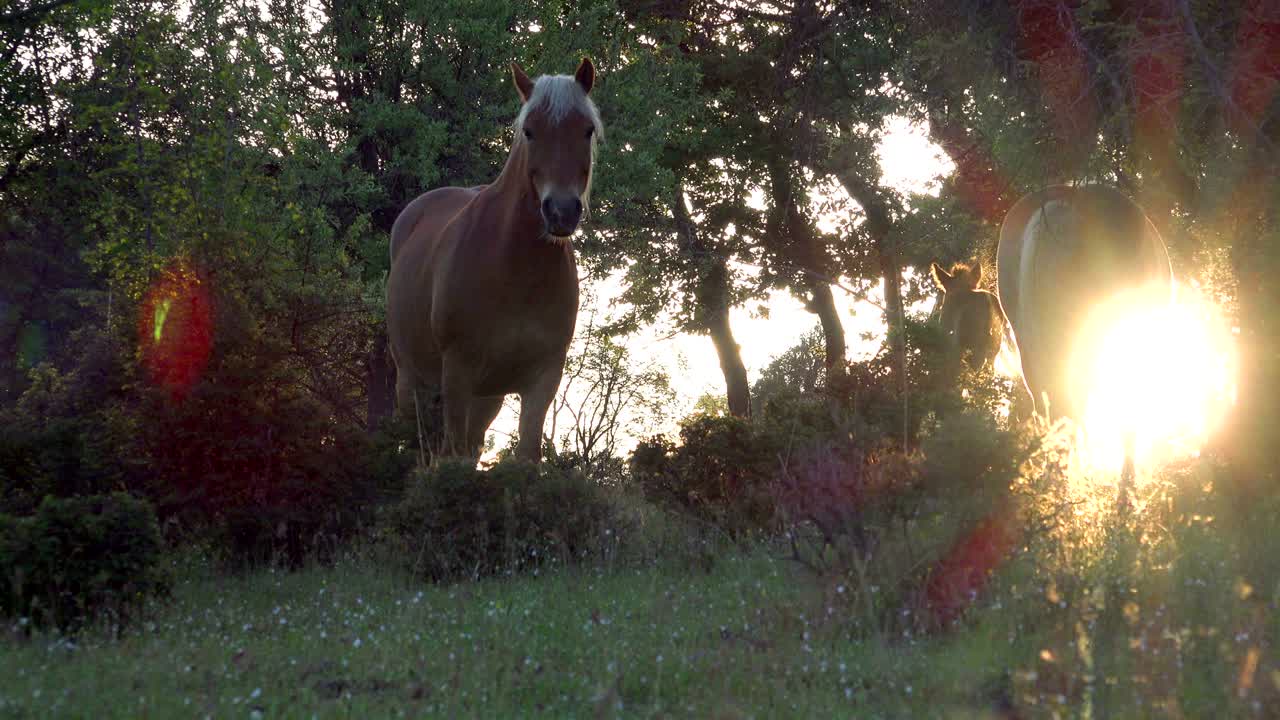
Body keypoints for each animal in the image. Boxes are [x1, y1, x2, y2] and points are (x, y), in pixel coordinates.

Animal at [386, 58, 602, 463]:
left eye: (588, 130)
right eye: (530, 131)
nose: (561, 211)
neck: (515, 269)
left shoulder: (543, 377)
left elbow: (526, 456)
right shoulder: (457, 372)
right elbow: (451, 456)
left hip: (488, 396)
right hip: (412, 379)